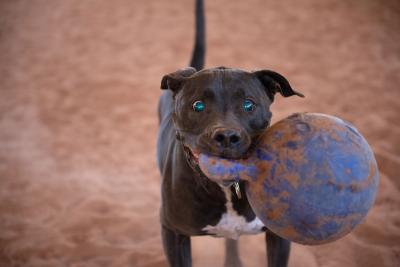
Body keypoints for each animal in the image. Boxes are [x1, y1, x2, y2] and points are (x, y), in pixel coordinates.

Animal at [156, 1, 304, 266]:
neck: (226, 189)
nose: (226, 136)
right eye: (198, 105)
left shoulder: (278, 235)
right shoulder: (173, 233)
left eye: (248, 104)